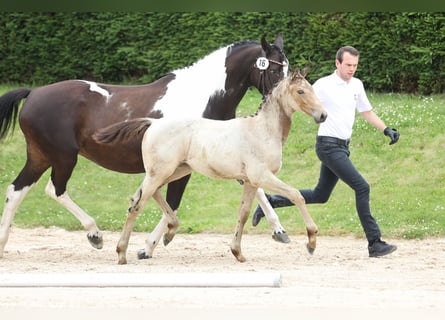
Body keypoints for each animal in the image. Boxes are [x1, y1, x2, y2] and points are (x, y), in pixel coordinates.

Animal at [0, 33, 288, 258]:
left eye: (287, 69)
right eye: (274, 70)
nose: (284, 98)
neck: (203, 99)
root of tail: (34, 93)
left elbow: (256, 189)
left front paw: (280, 231)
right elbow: (173, 202)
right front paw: (149, 245)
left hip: (39, 156)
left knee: (16, 190)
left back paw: (3, 245)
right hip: (63, 157)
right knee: (54, 189)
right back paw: (95, 234)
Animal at [94, 67, 326, 262]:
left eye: (312, 89)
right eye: (300, 91)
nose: (322, 115)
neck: (262, 131)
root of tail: (153, 123)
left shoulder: (250, 182)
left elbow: (243, 214)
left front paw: (237, 252)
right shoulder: (262, 176)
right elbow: (296, 195)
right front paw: (311, 241)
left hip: (175, 171)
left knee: (146, 195)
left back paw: (169, 231)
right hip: (161, 172)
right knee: (137, 206)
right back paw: (122, 253)